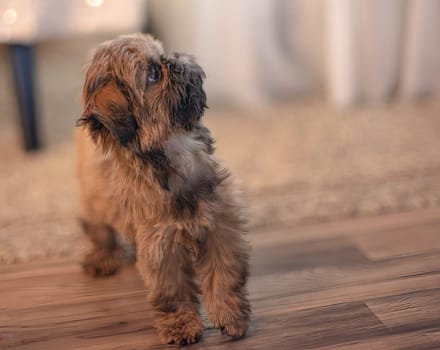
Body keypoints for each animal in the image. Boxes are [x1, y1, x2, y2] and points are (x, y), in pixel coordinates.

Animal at [74, 34, 249, 346]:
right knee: (100, 231)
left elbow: (223, 275)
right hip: (93, 202)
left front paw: (229, 315)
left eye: (163, 55)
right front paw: (181, 325)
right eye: (153, 74)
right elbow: (172, 291)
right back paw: (102, 258)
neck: (175, 151)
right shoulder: (162, 245)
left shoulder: (220, 225)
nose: (177, 61)